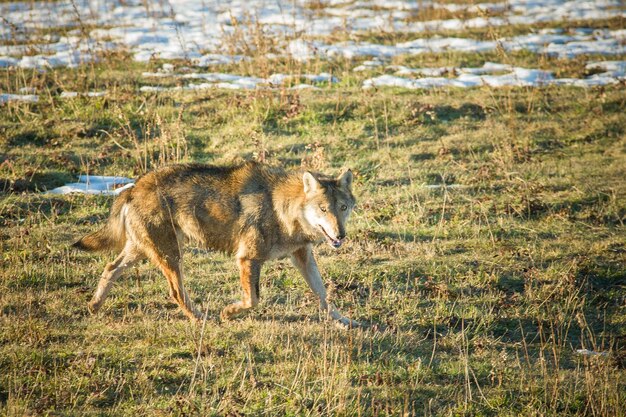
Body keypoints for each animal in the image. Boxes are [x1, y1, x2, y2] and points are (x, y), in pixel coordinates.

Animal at [72, 161, 356, 326]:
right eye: (323, 209)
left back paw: (93, 306)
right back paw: (201, 318)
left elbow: (323, 294)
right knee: (176, 292)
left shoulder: (302, 255)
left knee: (110, 268)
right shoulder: (248, 258)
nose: (340, 235)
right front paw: (228, 313)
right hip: (171, 255)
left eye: (342, 208)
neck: (281, 209)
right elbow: (252, 300)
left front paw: (344, 321)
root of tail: (132, 188)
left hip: (142, 251)